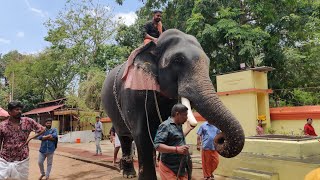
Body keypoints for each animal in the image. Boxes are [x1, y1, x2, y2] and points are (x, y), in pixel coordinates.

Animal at [102, 28, 245, 179]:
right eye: (177, 60)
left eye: (208, 61)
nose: (220, 139)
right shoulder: (134, 94)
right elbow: (142, 135)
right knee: (124, 137)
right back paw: (128, 174)